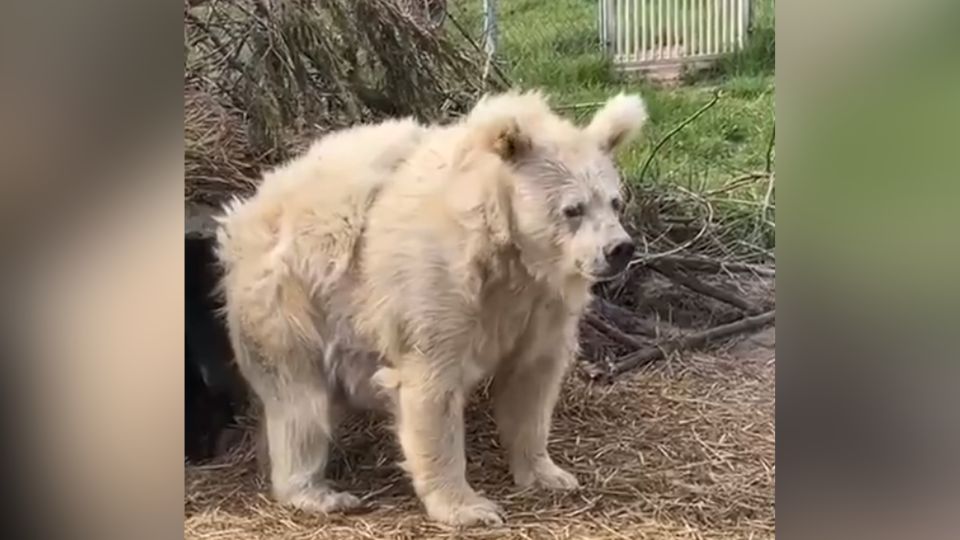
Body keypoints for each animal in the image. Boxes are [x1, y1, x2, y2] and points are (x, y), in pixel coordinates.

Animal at [214, 90, 648, 524]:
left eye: (615, 201)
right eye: (573, 209)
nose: (619, 249)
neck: (507, 254)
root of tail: (243, 213)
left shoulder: (539, 305)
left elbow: (532, 382)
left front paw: (549, 473)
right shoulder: (437, 288)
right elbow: (432, 388)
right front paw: (469, 506)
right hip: (290, 302)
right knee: (299, 402)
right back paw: (318, 492)